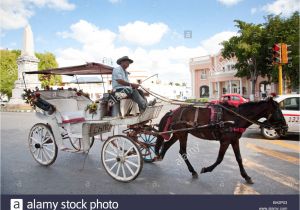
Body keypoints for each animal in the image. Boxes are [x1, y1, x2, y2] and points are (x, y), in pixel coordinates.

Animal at [155, 97, 288, 184]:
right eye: (278, 111)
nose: (285, 128)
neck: (236, 118)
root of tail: (174, 112)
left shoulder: (234, 140)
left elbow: (239, 158)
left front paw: (246, 176)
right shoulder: (225, 140)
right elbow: (220, 159)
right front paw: (206, 169)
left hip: (179, 133)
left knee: (166, 145)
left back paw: (159, 156)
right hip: (182, 133)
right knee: (182, 151)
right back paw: (192, 171)